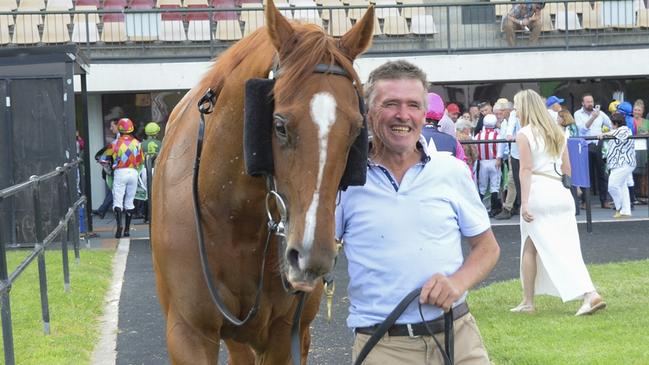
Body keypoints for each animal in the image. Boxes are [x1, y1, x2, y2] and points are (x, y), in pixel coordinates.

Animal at [151, 1, 374, 362]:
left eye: (356, 132)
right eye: (279, 125)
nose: (311, 255)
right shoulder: (188, 333)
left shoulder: (284, 334)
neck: (231, 214)